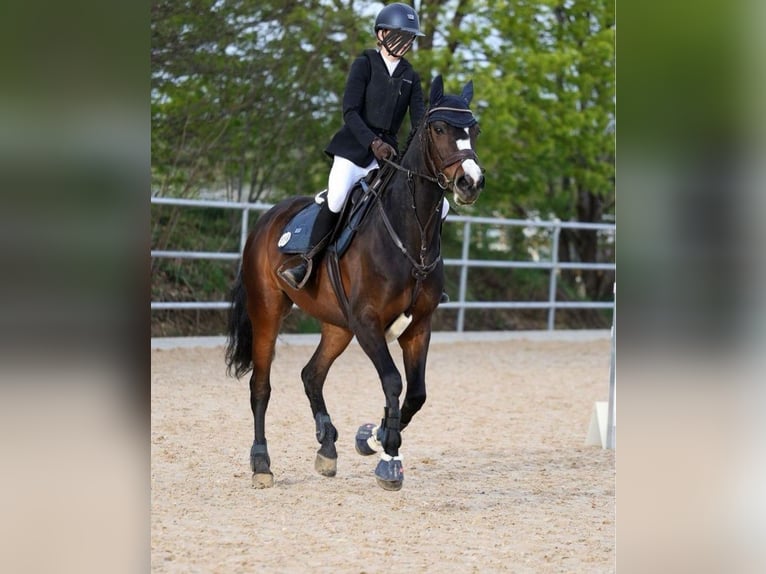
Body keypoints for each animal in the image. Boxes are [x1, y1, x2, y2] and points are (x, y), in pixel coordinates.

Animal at [225, 74, 484, 492]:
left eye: (474, 130)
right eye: (440, 128)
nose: (470, 182)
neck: (410, 232)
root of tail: (265, 219)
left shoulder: (419, 326)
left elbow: (416, 394)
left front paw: (374, 436)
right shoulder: (367, 323)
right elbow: (393, 382)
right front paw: (389, 458)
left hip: (337, 326)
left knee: (311, 375)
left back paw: (327, 448)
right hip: (268, 312)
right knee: (261, 386)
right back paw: (262, 463)